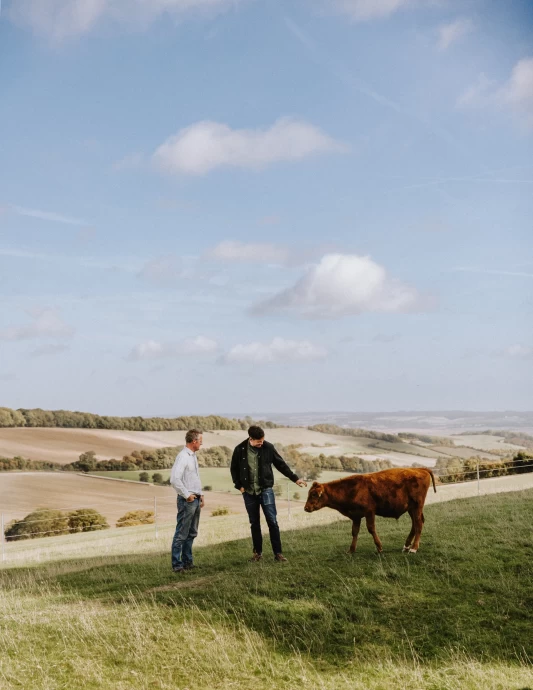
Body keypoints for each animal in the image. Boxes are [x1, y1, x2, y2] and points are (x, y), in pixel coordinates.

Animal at [304, 464, 436, 552]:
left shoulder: (369, 512)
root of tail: (420, 469)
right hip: (411, 508)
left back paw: (413, 548)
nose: (306, 508)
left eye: (314, 494)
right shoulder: (356, 516)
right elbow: (354, 532)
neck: (350, 489)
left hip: (417, 506)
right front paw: (351, 550)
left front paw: (379, 547)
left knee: (418, 523)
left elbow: (371, 529)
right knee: (415, 524)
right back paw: (407, 545)